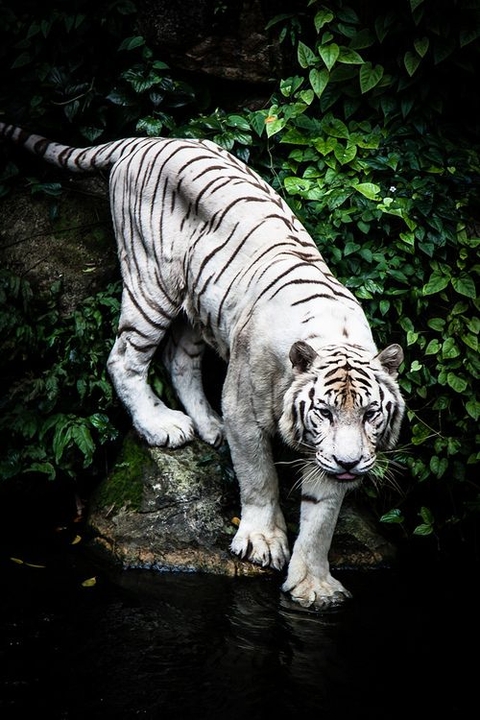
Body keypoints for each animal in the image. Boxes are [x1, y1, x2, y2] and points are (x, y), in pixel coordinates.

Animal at [0, 121, 405, 609]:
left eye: (370, 413)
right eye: (324, 412)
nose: (349, 463)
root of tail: (146, 139)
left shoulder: (329, 454)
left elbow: (322, 516)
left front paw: (313, 585)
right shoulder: (244, 410)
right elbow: (259, 478)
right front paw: (262, 542)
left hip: (201, 305)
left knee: (178, 358)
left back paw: (208, 425)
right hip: (151, 284)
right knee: (124, 357)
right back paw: (162, 426)